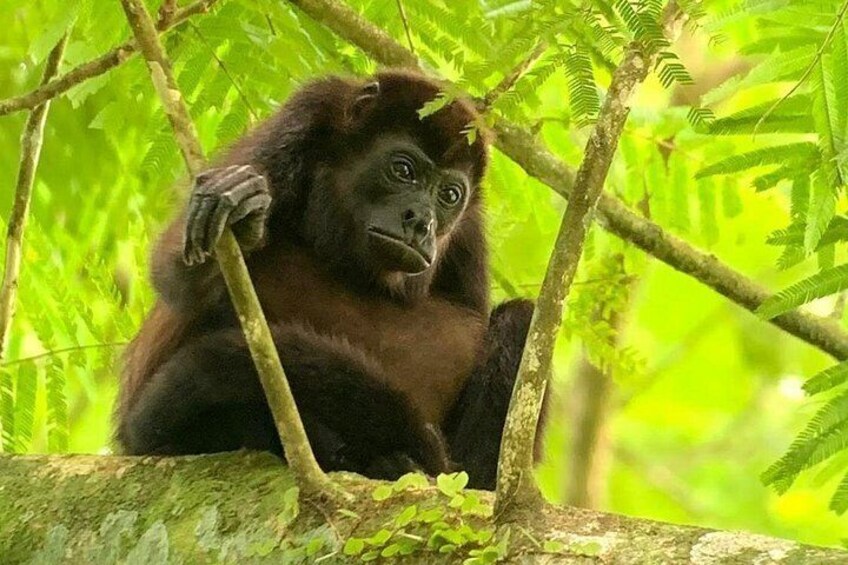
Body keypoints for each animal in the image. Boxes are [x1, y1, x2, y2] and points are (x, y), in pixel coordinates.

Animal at [116, 69, 535, 489]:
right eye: (403, 170)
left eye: (449, 195)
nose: (422, 222)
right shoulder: (300, 120)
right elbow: (177, 276)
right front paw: (239, 208)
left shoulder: (468, 228)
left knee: (520, 319)